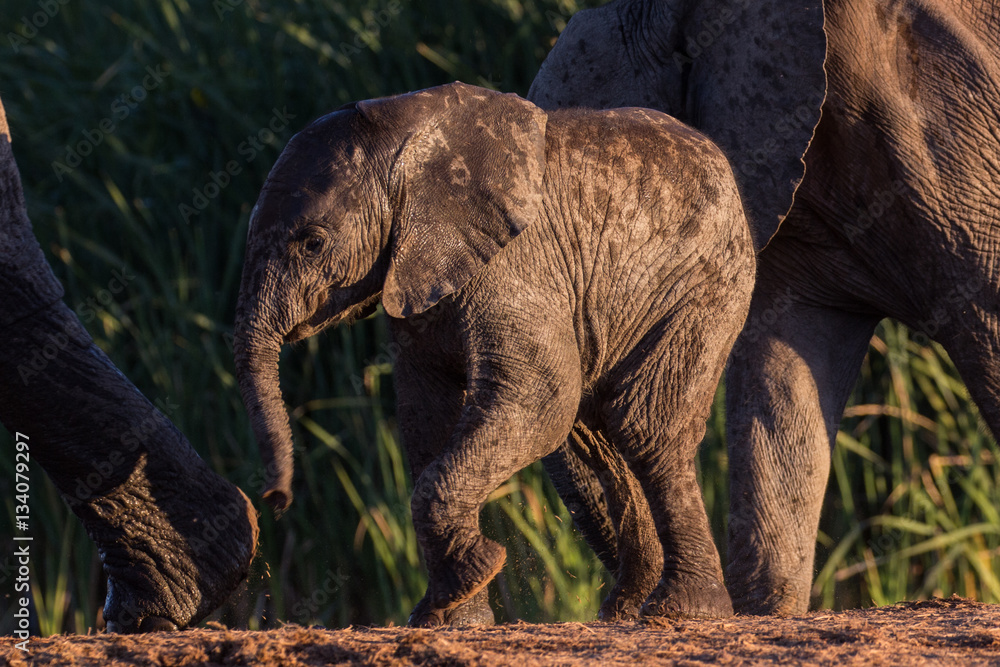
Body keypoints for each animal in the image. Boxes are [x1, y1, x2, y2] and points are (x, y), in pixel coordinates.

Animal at [232, 81, 756, 625]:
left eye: (312, 243)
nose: (274, 500)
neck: (406, 133)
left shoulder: (517, 262)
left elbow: (539, 399)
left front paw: (475, 574)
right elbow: (424, 414)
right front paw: (451, 615)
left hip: (703, 286)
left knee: (646, 426)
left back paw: (682, 610)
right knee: (597, 437)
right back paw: (625, 609)